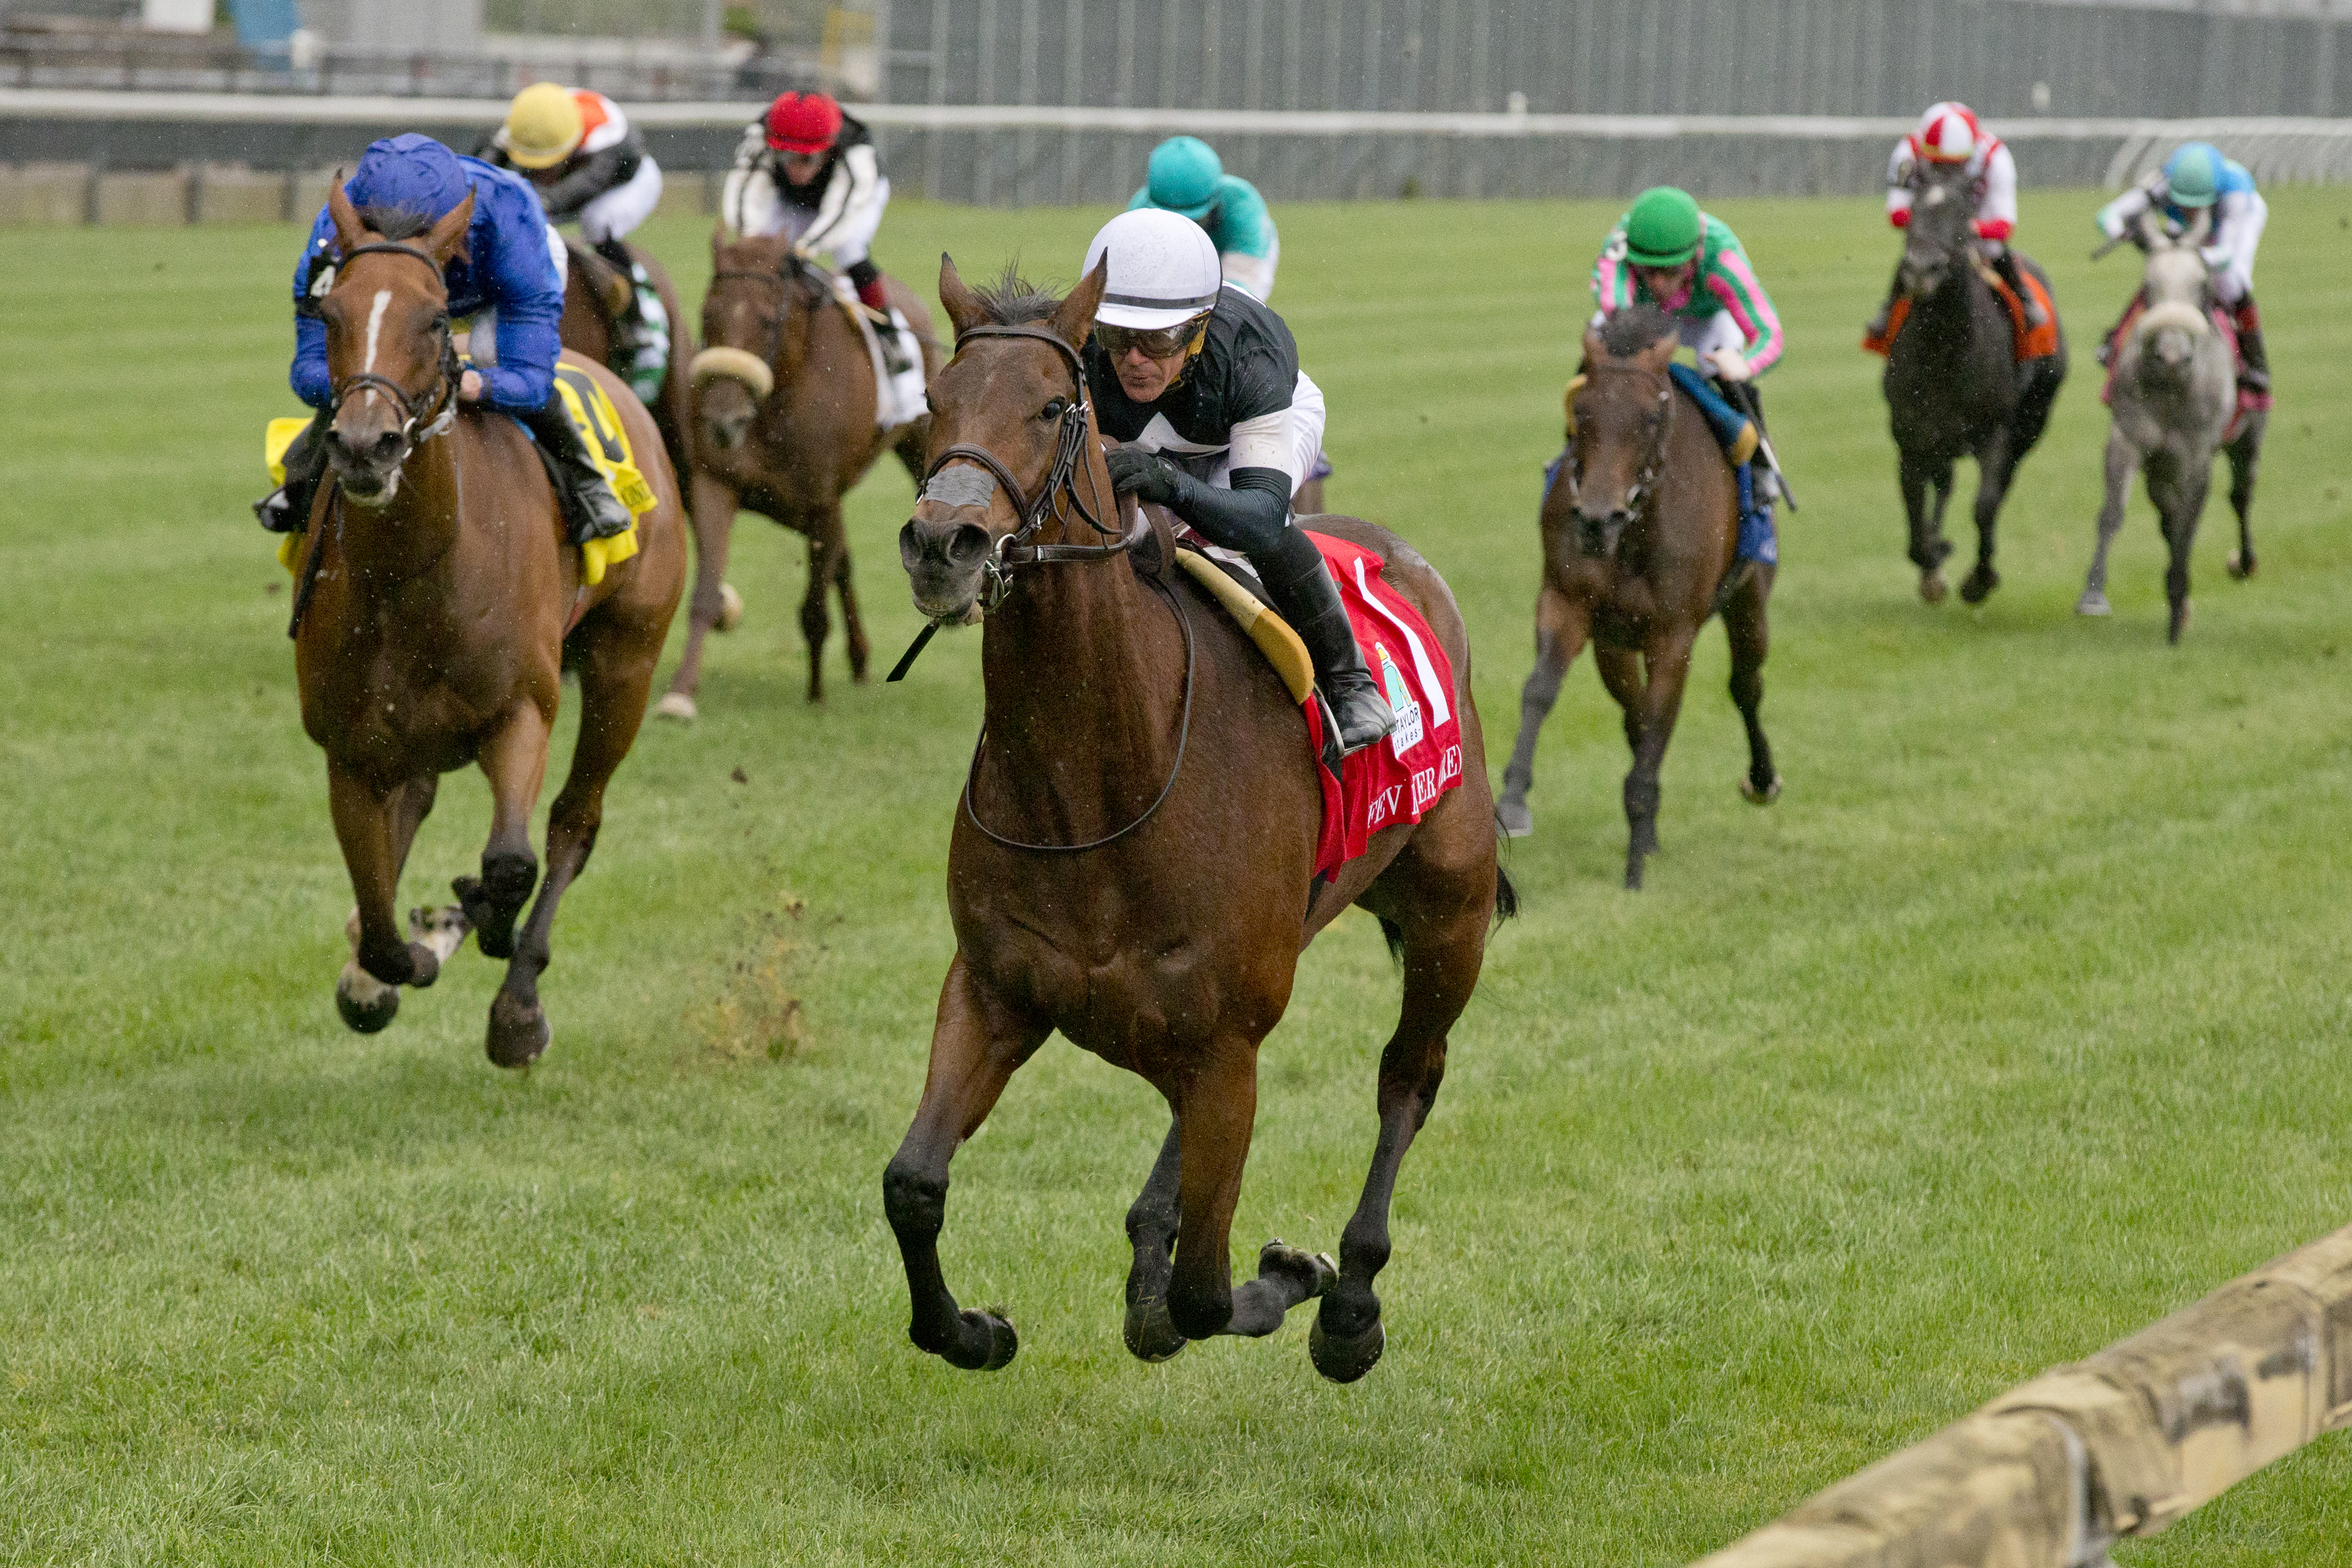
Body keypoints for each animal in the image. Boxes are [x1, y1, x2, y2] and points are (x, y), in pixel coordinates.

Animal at [658, 232, 941, 715]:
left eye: (769, 320)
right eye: (708, 313)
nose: (723, 421)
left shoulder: (820, 500)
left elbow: (814, 606)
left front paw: (815, 695)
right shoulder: (716, 484)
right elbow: (706, 593)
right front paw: (680, 693)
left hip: (919, 446)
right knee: (844, 561)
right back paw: (859, 659)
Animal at [884, 258, 1514, 1382]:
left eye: (1051, 409)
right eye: (935, 406)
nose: (941, 544)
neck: (1095, 786)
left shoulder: (1229, 1047)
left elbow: (1207, 1296)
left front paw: (1296, 1277)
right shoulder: (997, 988)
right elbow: (913, 1183)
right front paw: (974, 1329)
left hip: (1452, 915)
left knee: (1409, 1079)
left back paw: (1351, 1303)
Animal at [1495, 305, 1778, 891]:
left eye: (1650, 418)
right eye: (1580, 410)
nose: (1597, 519)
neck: (1633, 531)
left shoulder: (1674, 633)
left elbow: (1662, 720)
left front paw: (1633, 870)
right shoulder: (1567, 602)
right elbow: (1540, 689)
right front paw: (1512, 799)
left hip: (1749, 599)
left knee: (1745, 685)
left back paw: (1761, 779)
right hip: (1614, 644)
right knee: (1636, 713)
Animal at [1882, 157, 2067, 605]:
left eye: (1962, 212)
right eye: (1913, 209)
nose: (1920, 270)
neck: (1944, 350)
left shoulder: (1995, 431)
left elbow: (1985, 505)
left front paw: (1980, 579)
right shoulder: (1910, 433)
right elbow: (1915, 515)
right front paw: (1935, 563)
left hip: (2031, 423)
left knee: (2001, 487)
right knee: (1945, 482)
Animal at [2076, 213, 2263, 643]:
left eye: (2203, 288)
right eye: (2148, 287)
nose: (2172, 356)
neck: (2172, 388)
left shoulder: (2196, 454)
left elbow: (2189, 526)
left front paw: (2177, 610)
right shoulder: (2128, 439)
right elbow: (2113, 513)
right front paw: (2093, 594)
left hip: (2248, 433)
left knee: (2240, 496)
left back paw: (2244, 562)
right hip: (2160, 467)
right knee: (2167, 513)